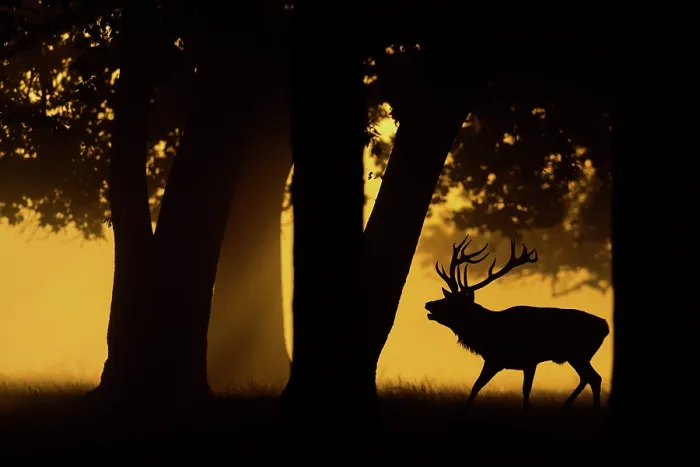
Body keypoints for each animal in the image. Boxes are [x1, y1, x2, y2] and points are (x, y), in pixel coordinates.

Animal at [425, 235, 610, 410]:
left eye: (454, 303)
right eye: (447, 297)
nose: (428, 304)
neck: (486, 333)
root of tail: (605, 327)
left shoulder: (517, 359)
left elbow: (496, 388)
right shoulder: (507, 361)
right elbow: (483, 387)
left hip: (579, 354)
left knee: (594, 378)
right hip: (579, 356)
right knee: (588, 378)